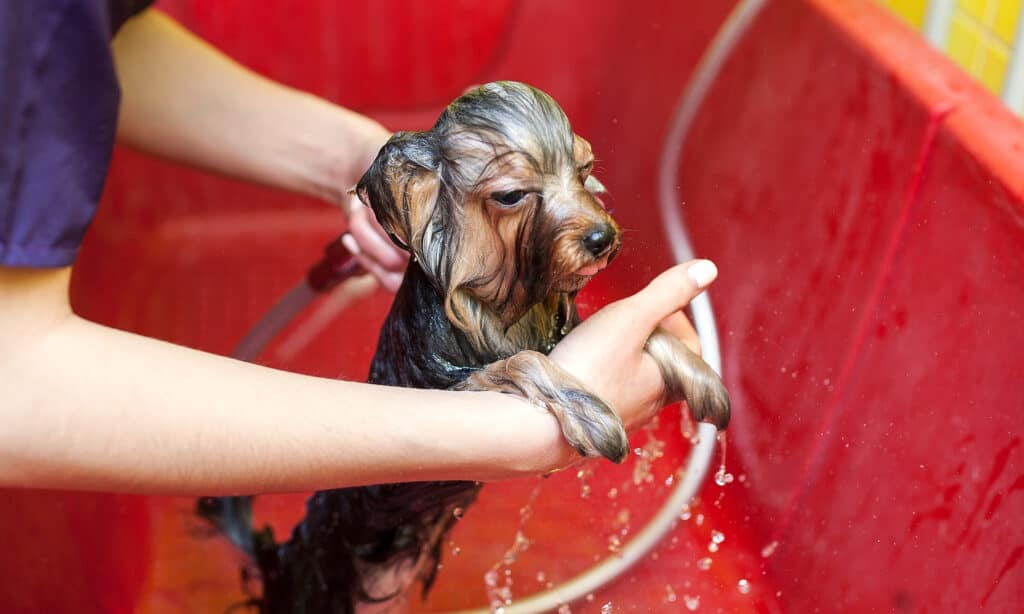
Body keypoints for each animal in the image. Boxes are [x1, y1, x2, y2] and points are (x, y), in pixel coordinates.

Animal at [199, 82, 729, 614]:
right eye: (511, 195)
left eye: (584, 169)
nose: (601, 238)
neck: (506, 305)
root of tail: (283, 555)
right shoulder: (453, 385)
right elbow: (521, 361)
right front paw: (590, 412)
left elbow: (650, 330)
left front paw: (704, 378)